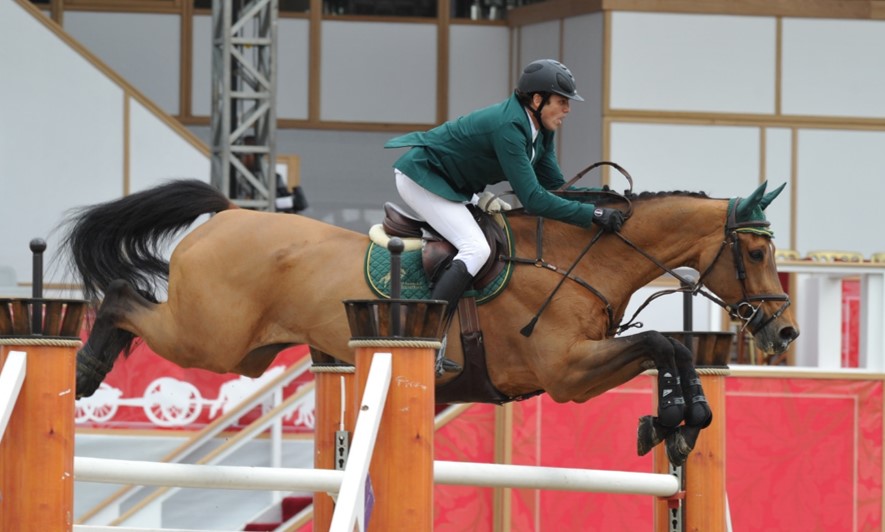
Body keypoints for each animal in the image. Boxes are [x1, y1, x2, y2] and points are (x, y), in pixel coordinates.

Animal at [60, 177, 798, 465]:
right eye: (755, 252)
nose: (783, 333)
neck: (577, 259)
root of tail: (228, 211)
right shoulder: (565, 372)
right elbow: (662, 341)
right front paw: (675, 417)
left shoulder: (580, 367)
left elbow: (670, 347)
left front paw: (679, 421)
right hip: (208, 339)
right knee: (124, 295)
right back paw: (86, 367)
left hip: (241, 350)